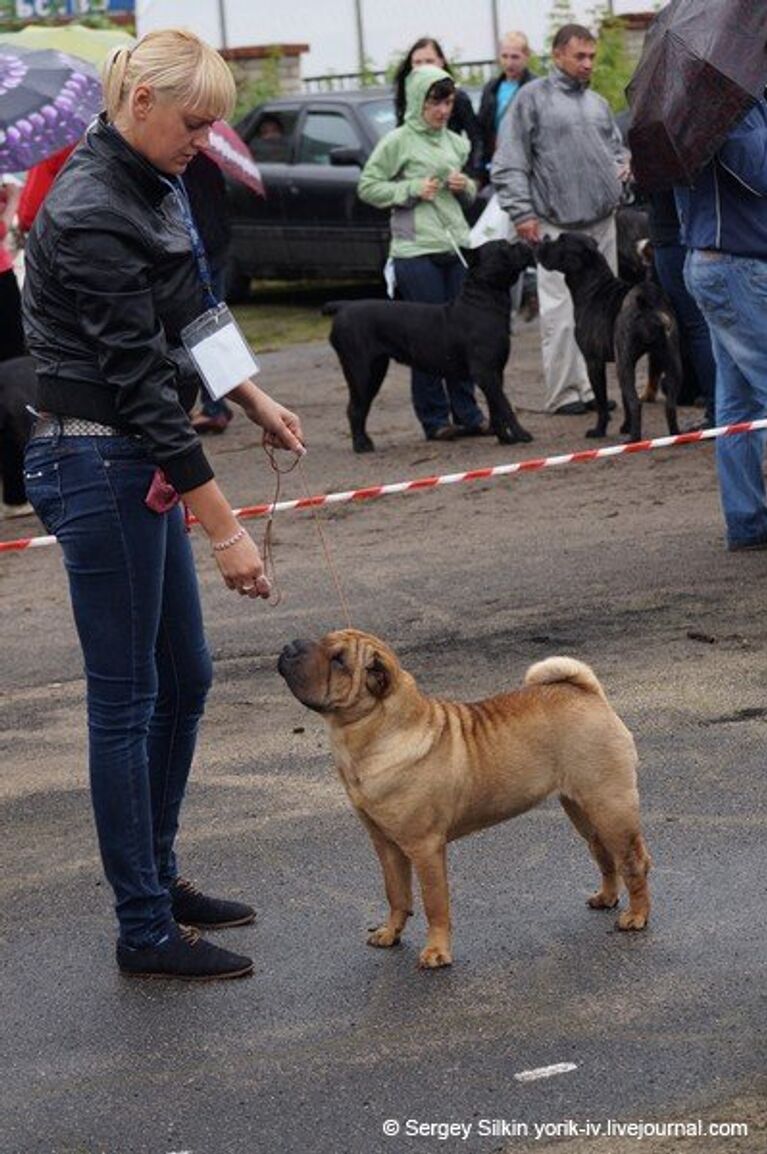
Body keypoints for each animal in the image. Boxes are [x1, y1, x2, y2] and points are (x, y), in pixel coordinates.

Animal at [277, 627, 650, 969]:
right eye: (322, 640)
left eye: (338, 660)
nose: (290, 646)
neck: (375, 731)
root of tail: (588, 693)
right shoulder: (386, 844)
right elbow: (397, 894)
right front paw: (390, 933)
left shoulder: (425, 847)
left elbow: (434, 903)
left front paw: (436, 952)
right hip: (583, 810)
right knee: (604, 854)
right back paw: (606, 898)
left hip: (610, 806)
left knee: (633, 861)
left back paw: (636, 917)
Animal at [320, 241, 532, 452]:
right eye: (504, 247)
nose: (524, 243)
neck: (485, 297)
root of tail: (344, 306)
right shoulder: (485, 372)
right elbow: (505, 405)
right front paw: (522, 435)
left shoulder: (496, 372)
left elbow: (496, 408)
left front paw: (505, 439)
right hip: (361, 372)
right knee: (354, 409)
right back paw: (361, 445)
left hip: (375, 371)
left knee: (362, 407)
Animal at [532, 230, 682, 440]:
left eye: (561, 241)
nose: (540, 242)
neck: (593, 286)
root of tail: (649, 303)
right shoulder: (626, 360)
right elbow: (624, 398)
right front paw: (625, 426)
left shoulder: (594, 361)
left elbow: (602, 402)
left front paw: (599, 430)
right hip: (671, 358)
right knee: (670, 404)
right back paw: (676, 435)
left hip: (625, 361)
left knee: (636, 403)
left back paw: (634, 439)